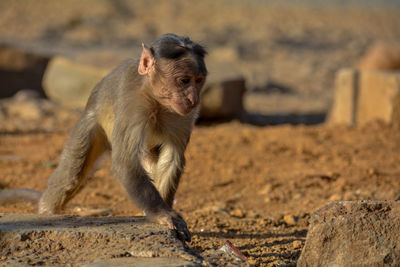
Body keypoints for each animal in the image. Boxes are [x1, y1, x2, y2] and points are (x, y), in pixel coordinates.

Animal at [1, 33, 209, 243]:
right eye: (184, 80)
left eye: (198, 80)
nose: (193, 99)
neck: (156, 100)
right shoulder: (133, 102)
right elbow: (125, 162)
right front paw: (162, 213)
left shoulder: (184, 116)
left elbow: (172, 158)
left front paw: (164, 212)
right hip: (90, 124)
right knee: (72, 174)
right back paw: (47, 211)